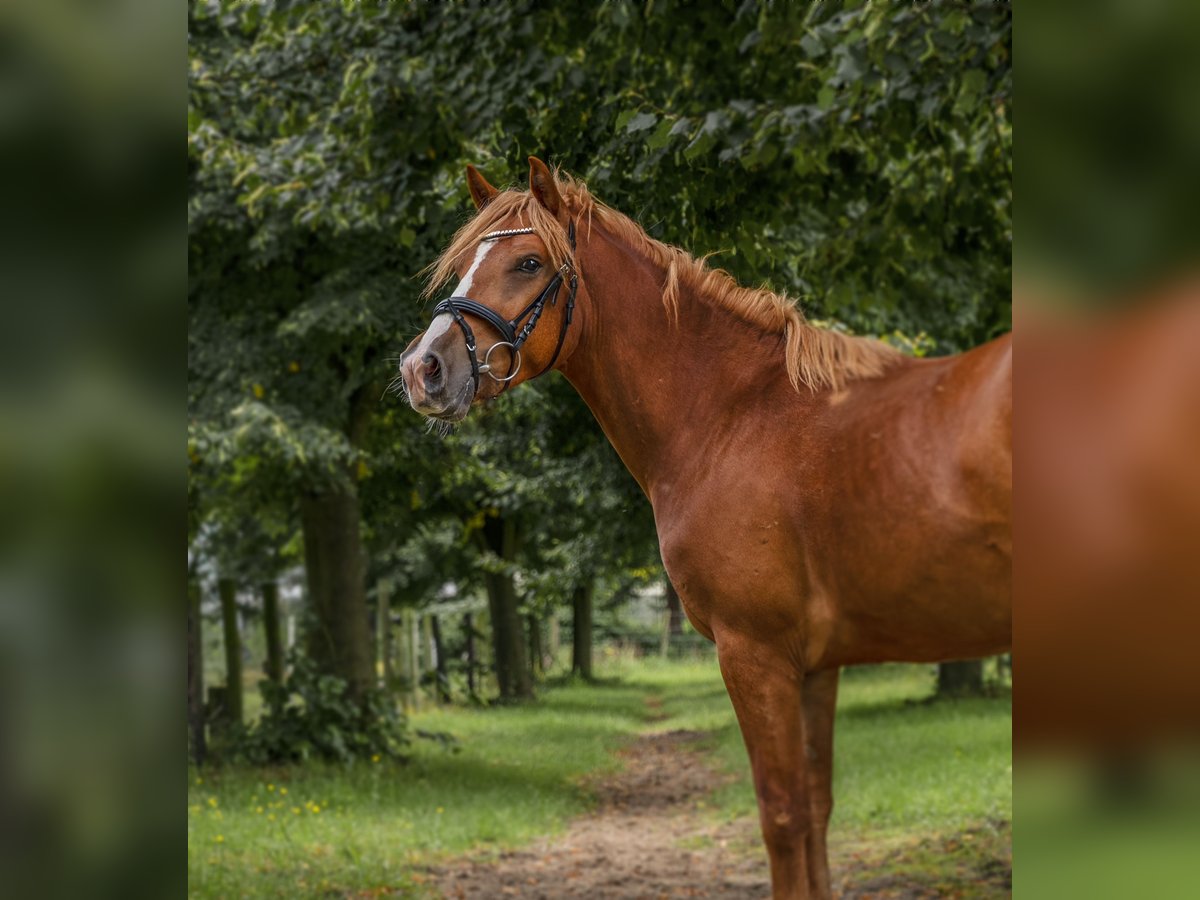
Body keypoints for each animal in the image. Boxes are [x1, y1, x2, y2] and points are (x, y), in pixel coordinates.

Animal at [398, 160, 1008, 900]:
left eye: (528, 262)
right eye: (462, 264)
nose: (422, 369)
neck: (732, 418)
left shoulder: (755, 655)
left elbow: (782, 816)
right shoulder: (815, 667)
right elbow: (817, 810)